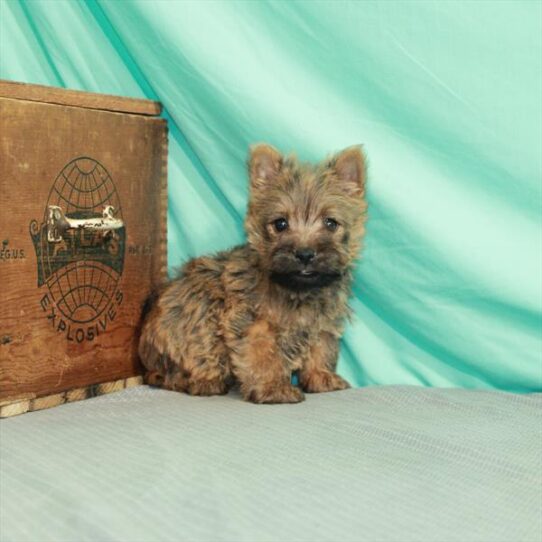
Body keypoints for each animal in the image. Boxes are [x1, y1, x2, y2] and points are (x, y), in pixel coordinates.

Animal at [140, 144, 370, 404]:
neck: (296, 289)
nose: (304, 253)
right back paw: (204, 382)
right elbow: (263, 356)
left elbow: (321, 347)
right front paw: (273, 387)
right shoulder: (252, 323)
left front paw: (320, 376)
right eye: (280, 224)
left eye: (330, 224)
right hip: (193, 313)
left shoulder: (321, 322)